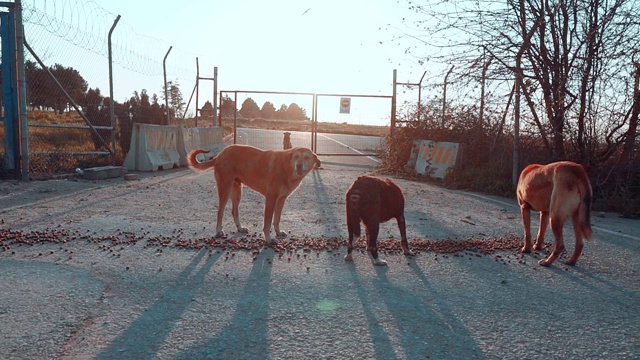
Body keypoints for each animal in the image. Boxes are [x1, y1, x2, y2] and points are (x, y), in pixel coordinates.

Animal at [189, 144, 320, 245]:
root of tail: (219, 155)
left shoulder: (281, 199)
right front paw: (268, 239)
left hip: (237, 191)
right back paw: (218, 231)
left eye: (307, 157)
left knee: (234, 211)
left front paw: (278, 232)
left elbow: (277, 219)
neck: (286, 167)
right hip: (225, 188)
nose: (299, 165)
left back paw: (240, 228)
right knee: (220, 211)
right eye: (296, 156)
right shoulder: (271, 199)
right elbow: (267, 222)